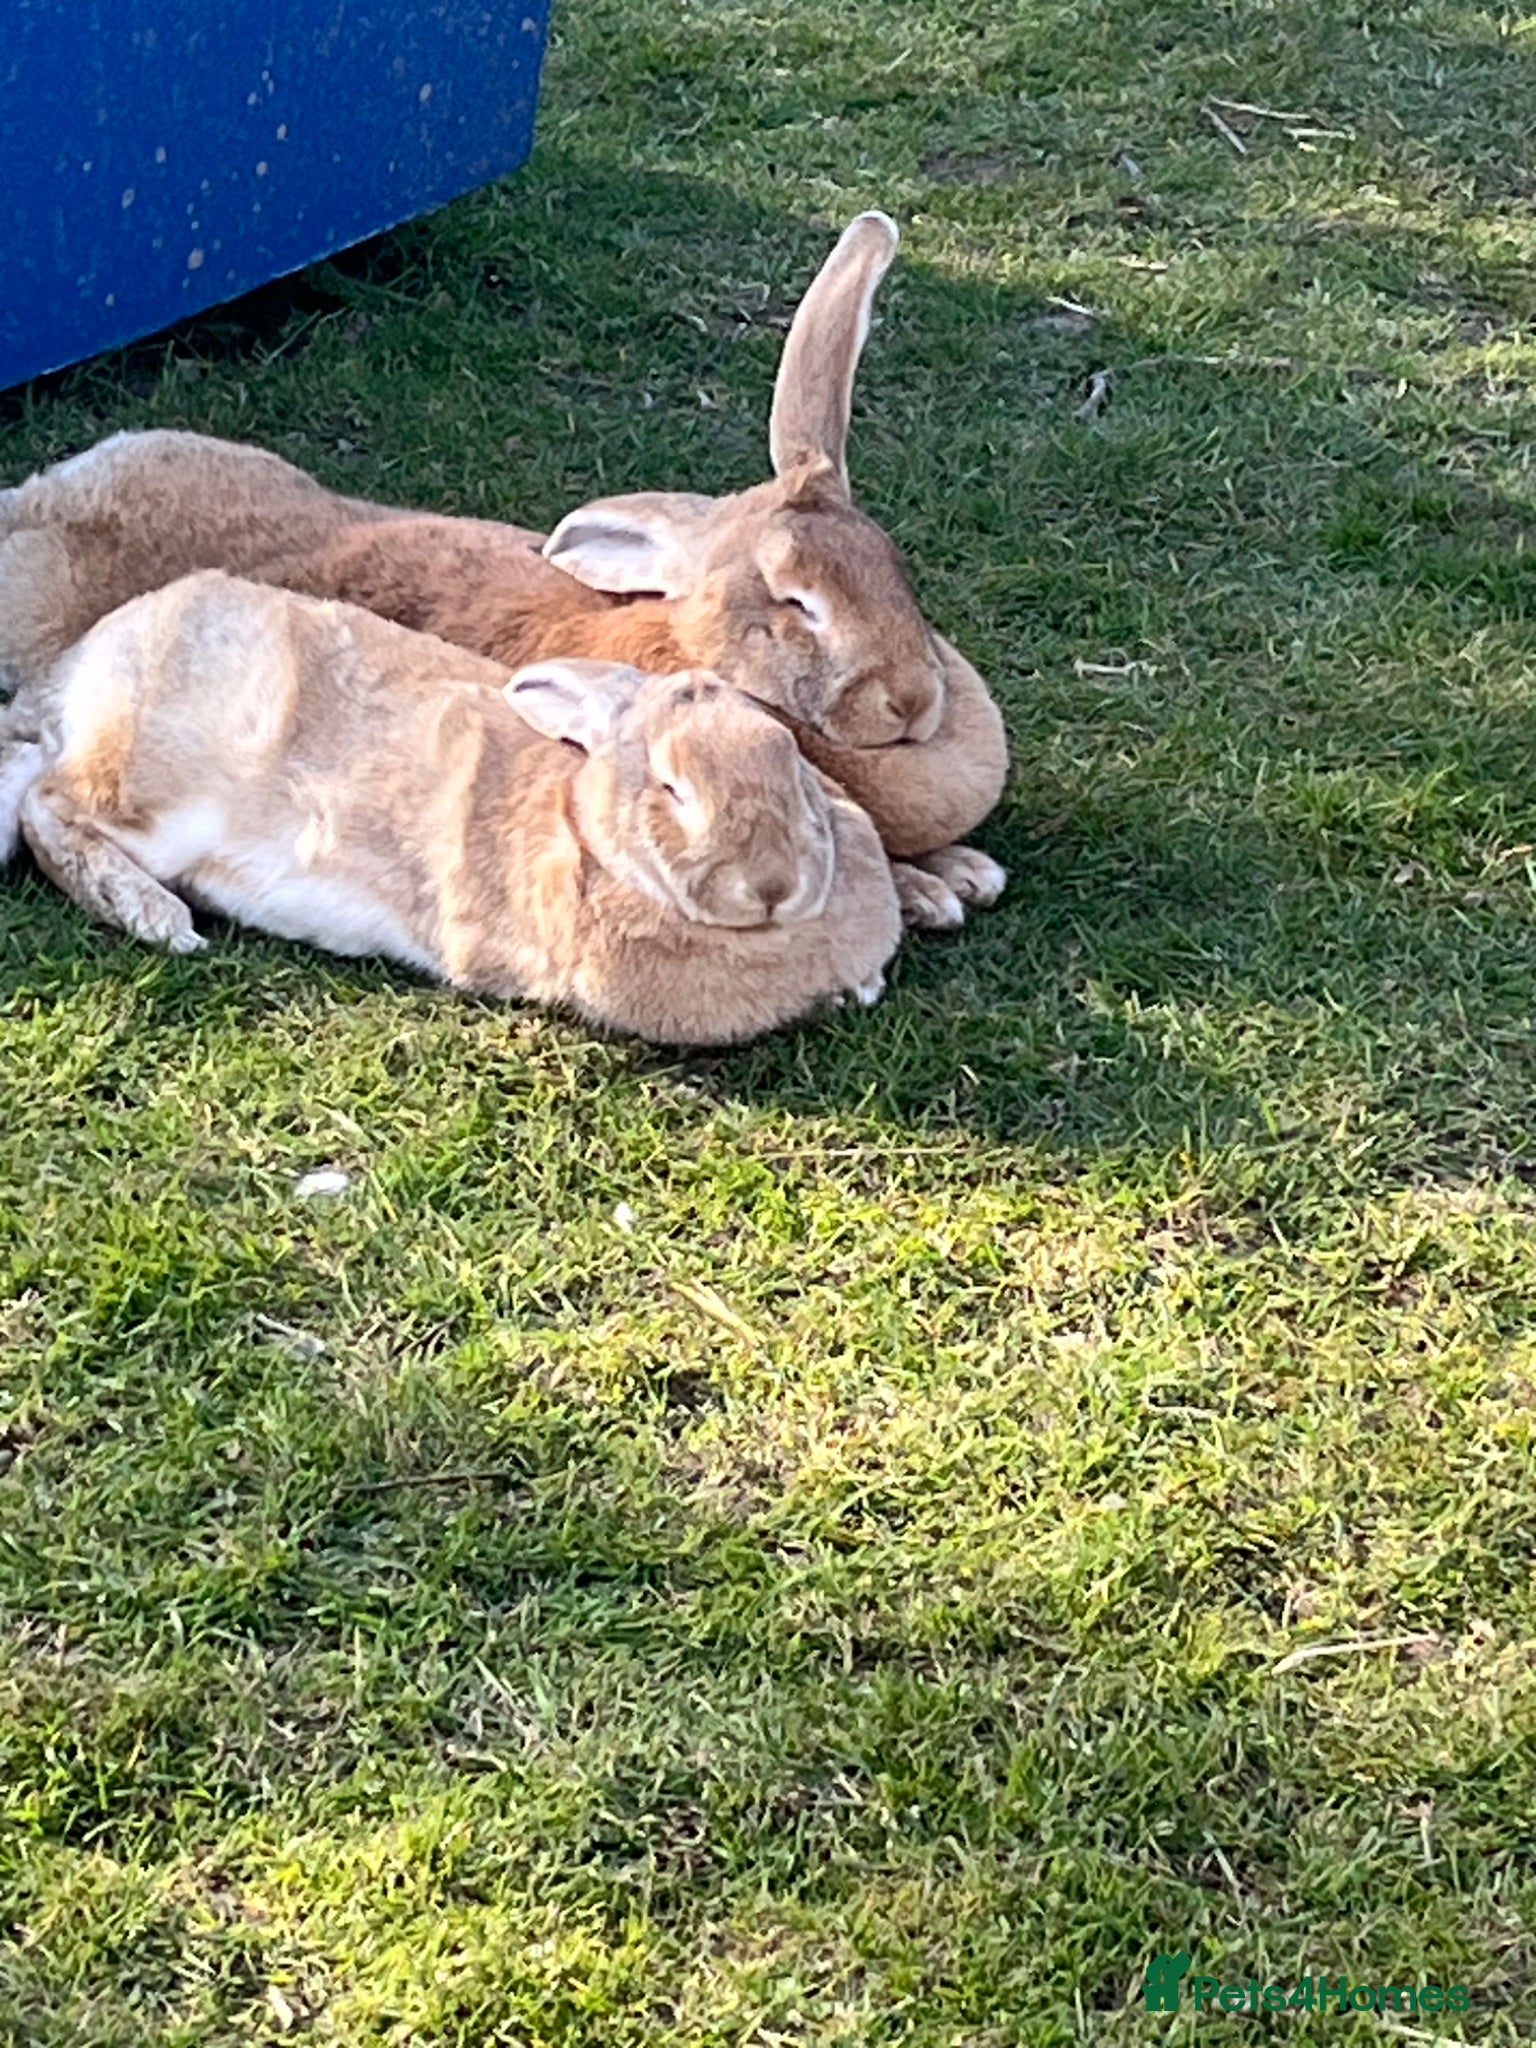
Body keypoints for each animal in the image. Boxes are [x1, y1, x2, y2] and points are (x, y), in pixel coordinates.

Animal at [0, 213, 1007, 932]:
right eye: (797, 603)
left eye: (895, 570)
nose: (913, 700)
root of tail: (33, 507)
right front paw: (933, 889)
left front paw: (961, 871)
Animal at [0, 571, 902, 1047]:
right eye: (671, 787)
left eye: (788, 758)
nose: (772, 885)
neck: (581, 820)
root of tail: (69, 678)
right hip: (150, 788)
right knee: (50, 808)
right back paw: (158, 918)